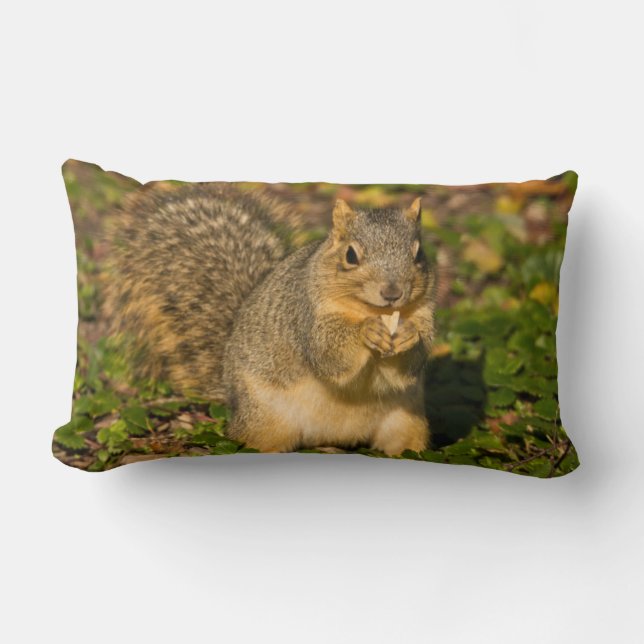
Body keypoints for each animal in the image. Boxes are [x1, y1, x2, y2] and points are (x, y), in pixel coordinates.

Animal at [107, 184, 436, 455]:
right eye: (351, 255)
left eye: (419, 254)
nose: (392, 292)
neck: (371, 309)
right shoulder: (305, 315)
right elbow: (329, 355)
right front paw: (366, 332)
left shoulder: (424, 314)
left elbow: (410, 366)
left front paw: (408, 337)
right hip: (265, 419)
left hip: (407, 421)